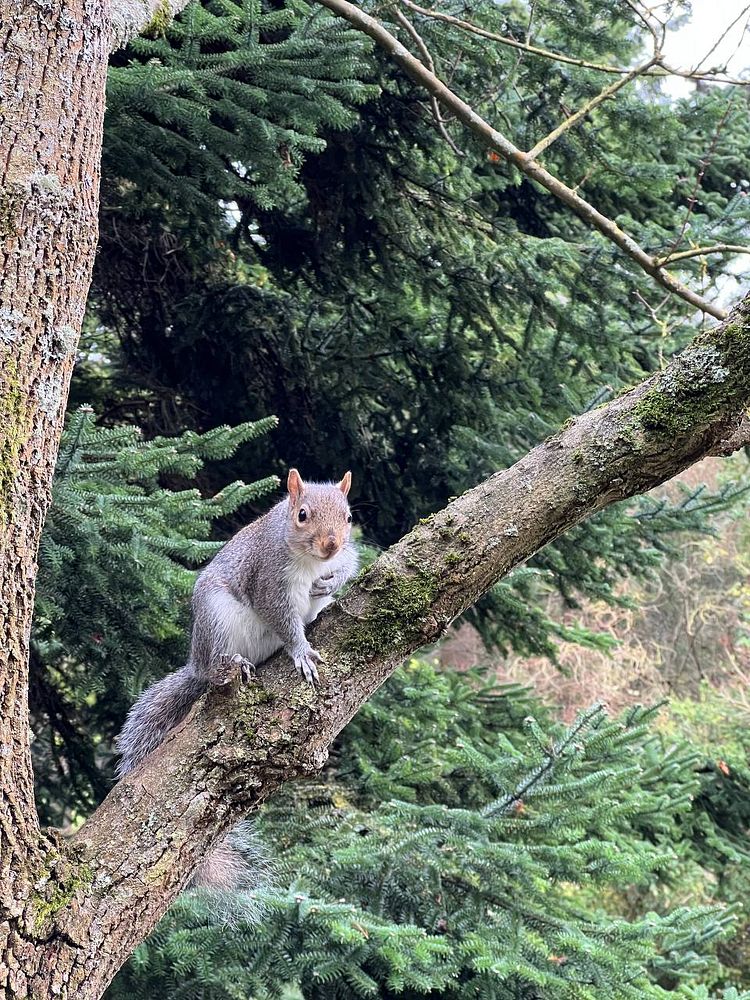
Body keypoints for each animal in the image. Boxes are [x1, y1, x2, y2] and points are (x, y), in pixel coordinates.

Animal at [115, 468, 358, 889]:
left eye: (347, 517)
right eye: (302, 515)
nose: (331, 546)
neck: (307, 560)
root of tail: (196, 663)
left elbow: (351, 561)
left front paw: (334, 578)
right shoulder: (268, 580)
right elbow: (281, 617)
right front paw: (300, 651)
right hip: (217, 620)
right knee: (218, 662)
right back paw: (234, 662)